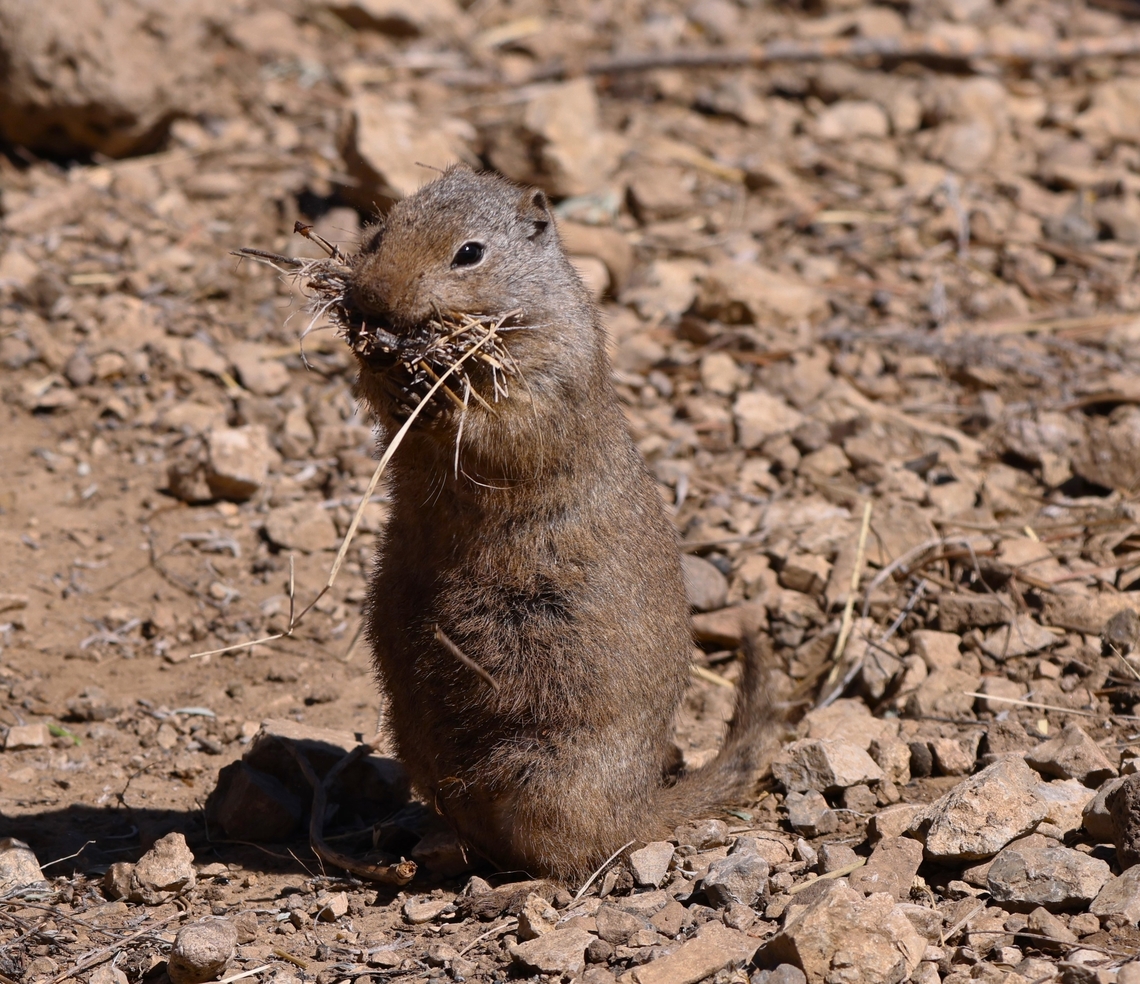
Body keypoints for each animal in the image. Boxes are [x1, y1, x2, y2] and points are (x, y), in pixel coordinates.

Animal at [344, 165, 777, 882]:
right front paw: (387, 365)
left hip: (547, 776)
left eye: (469, 253)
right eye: (380, 229)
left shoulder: (549, 374)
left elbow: (499, 425)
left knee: (570, 858)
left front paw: (430, 388)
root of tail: (641, 808)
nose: (371, 297)